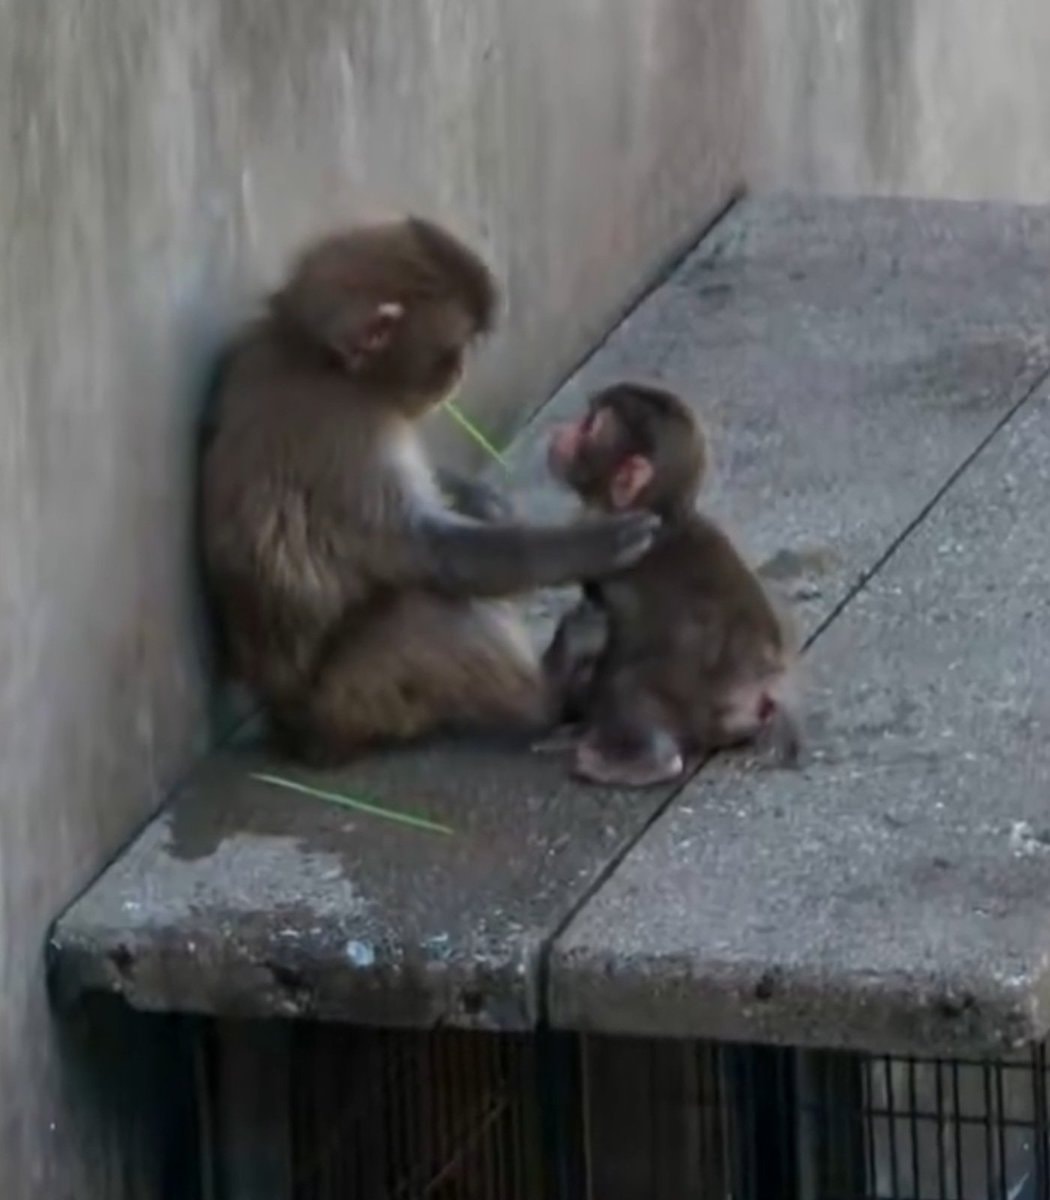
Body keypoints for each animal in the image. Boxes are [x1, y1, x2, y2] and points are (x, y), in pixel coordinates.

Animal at [200, 217, 660, 764]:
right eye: (451, 348)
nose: (459, 371)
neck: (316, 359)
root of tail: (295, 735)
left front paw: (481, 499)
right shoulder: (345, 432)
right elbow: (426, 550)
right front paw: (590, 546)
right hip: (349, 700)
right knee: (425, 612)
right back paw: (551, 695)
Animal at [541, 381, 804, 787]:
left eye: (589, 427)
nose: (563, 432)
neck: (660, 516)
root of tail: (763, 691)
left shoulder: (600, 541)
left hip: (701, 710)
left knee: (628, 678)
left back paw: (648, 761)